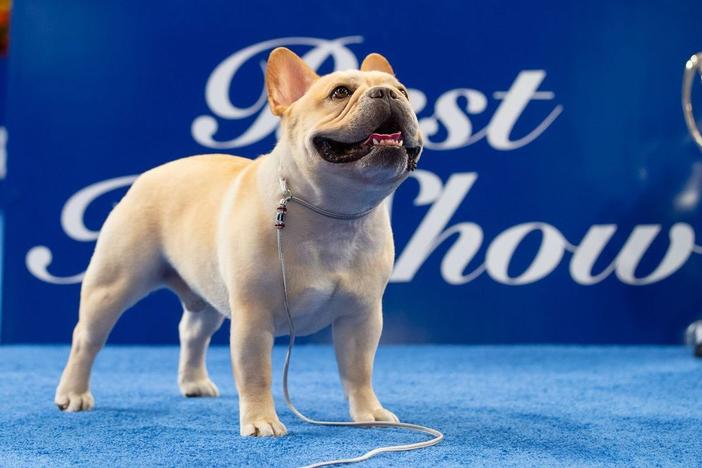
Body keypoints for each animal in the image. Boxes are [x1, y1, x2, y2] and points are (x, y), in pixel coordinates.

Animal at [53, 47, 424, 436]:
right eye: (340, 92)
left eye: (404, 91)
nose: (388, 94)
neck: (332, 212)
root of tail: (147, 176)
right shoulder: (253, 317)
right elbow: (256, 373)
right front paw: (261, 420)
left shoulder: (361, 317)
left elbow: (358, 371)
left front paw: (369, 412)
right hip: (112, 286)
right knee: (86, 340)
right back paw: (73, 394)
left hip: (207, 295)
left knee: (192, 332)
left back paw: (194, 383)